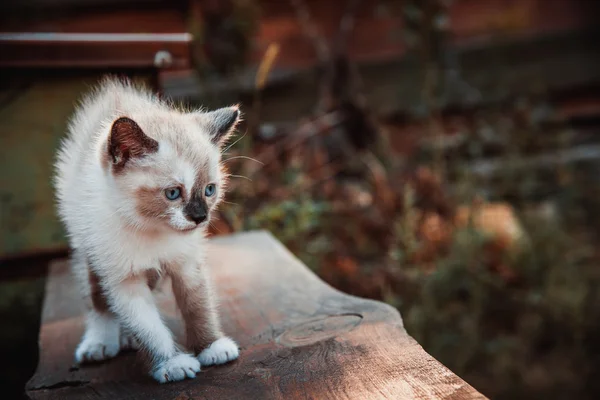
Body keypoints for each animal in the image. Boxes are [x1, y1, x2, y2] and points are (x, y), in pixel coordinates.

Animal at [54, 76, 241, 384]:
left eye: (209, 190)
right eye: (173, 193)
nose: (200, 217)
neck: (152, 229)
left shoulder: (187, 263)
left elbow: (198, 306)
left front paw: (211, 347)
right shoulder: (123, 279)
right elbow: (149, 326)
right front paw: (172, 364)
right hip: (87, 248)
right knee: (97, 300)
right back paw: (100, 342)